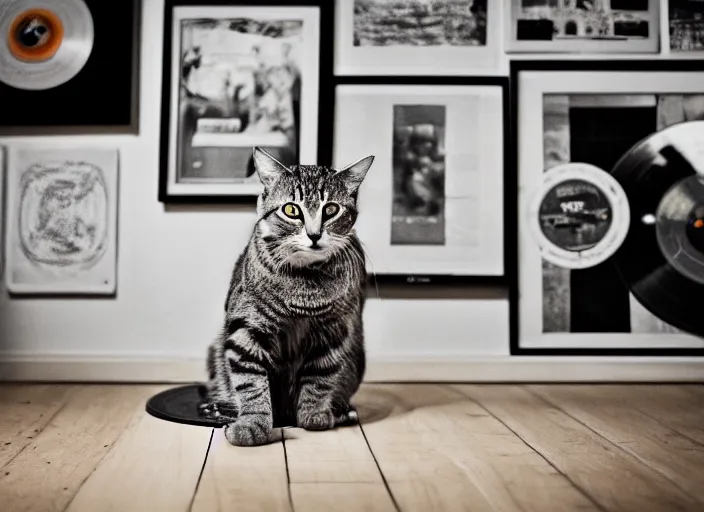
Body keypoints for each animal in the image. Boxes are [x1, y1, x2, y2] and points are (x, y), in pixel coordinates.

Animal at [204, 146, 376, 446]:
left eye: (331, 209)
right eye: (291, 209)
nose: (314, 234)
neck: (305, 284)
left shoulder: (334, 331)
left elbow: (319, 377)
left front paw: (313, 414)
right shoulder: (246, 329)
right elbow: (251, 382)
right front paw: (252, 423)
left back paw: (341, 411)